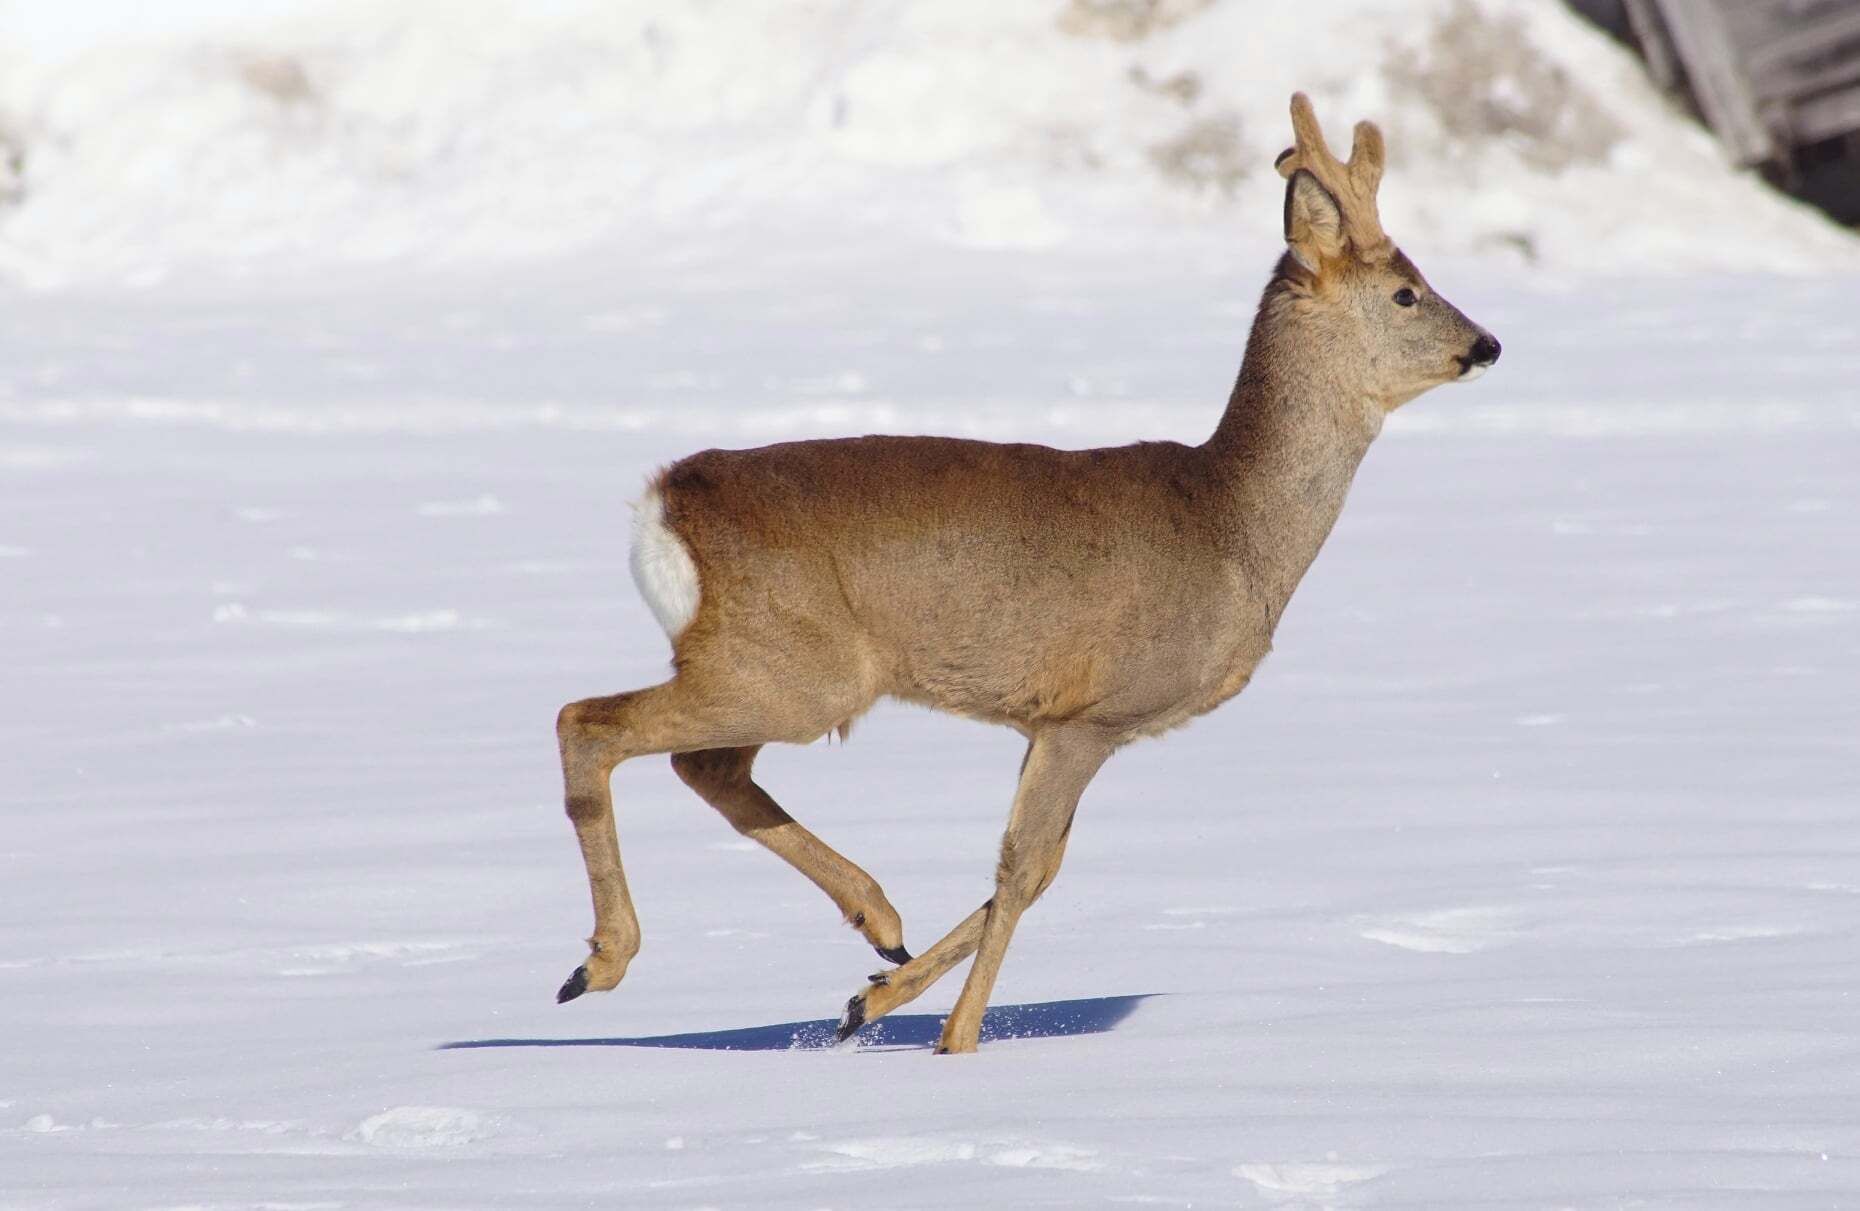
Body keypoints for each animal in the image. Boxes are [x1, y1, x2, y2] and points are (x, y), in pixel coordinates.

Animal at [551, 93, 1501, 1054]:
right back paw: (600, 962)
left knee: (704, 767)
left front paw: (872, 1001)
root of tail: (664, 500)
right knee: (588, 720)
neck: (1230, 525)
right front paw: (957, 1040)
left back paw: (877, 924)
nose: (1488, 344)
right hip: (795, 668)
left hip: (767, 663)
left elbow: (1036, 872)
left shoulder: (1060, 721)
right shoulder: (1093, 713)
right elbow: (1021, 867)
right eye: (1406, 291)